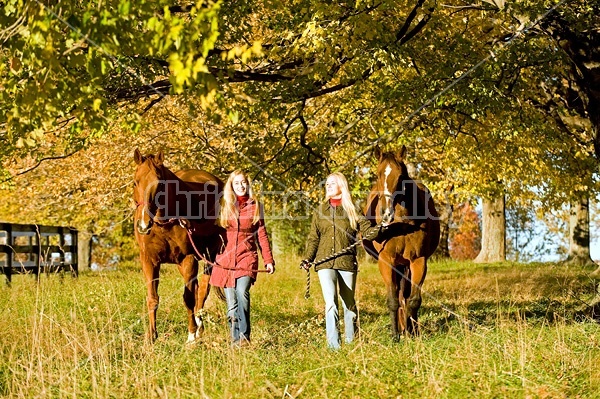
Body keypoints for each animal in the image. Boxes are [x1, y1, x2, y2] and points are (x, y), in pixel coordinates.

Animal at [132, 150, 224, 344]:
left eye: (160, 184)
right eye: (135, 181)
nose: (143, 225)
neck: (163, 224)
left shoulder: (188, 259)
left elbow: (188, 298)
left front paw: (191, 335)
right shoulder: (149, 260)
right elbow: (152, 298)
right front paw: (151, 337)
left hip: (209, 256)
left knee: (202, 290)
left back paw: (199, 327)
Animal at [364, 145, 438, 340]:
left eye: (400, 176)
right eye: (377, 175)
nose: (386, 213)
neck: (403, 224)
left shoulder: (418, 260)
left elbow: (413, 300)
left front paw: (413, 333)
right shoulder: (386, 261)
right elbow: (392, 300)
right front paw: (395, 334)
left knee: (404, 295)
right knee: (398, 294)